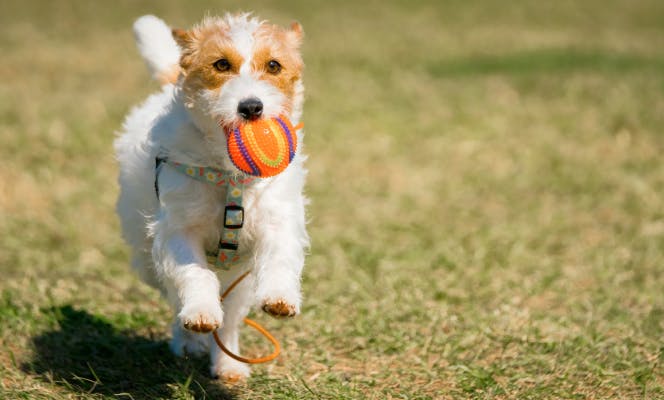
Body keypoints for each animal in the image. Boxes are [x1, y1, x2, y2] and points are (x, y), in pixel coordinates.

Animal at [113, 14, 308, 380]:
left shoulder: (277, 220)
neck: (230, 176)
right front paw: (200, 313)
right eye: (221, 64)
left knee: (231, 314)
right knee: (175, 294)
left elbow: (280, 257)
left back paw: (228, 360)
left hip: (240, 277)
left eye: (273, 65)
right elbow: (194, 274)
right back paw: (189, 340)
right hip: (147, 258)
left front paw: (280, 296)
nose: (251, 107)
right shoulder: (179, 231)